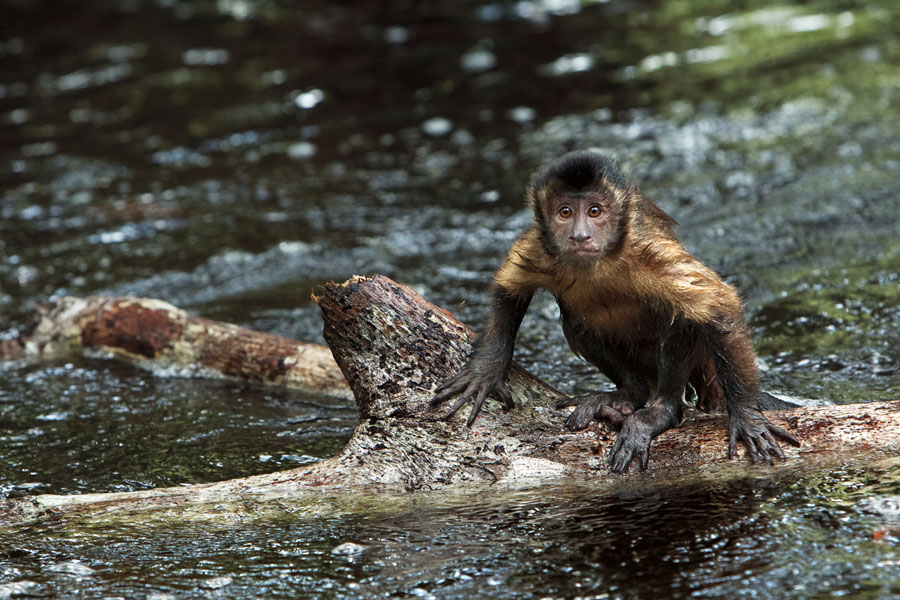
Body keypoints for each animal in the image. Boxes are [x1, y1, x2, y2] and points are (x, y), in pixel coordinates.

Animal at [430, 150, 800, 474]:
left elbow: (718, 304)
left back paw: (662, 411)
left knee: (681, 315)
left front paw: (747, 418)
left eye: (595, 211)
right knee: (577, 321)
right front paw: (486, 371)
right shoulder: (540, 244)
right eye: (565, 212)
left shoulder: (645, 249)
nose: (581, 235)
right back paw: (628, 395)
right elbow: (509, 288)